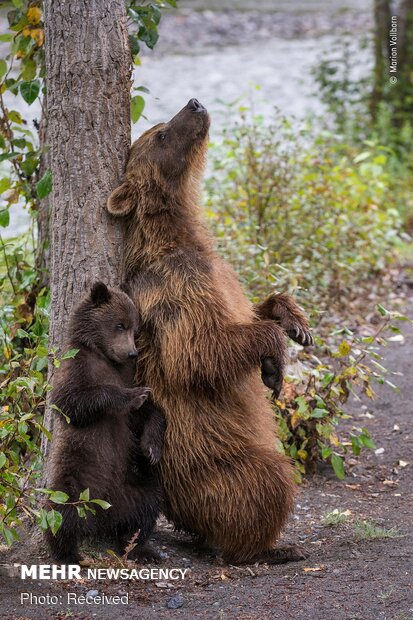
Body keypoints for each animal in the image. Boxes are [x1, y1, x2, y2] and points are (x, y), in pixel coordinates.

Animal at [45, 284, 165, 564]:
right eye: (119, 325)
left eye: (135, 328)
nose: (132, 352)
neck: (104, 357)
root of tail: (102, 512)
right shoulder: (75, 366)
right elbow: (72, 401)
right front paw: (132, 397)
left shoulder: (129, 373)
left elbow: (147, 412)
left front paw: (151, 447)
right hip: (76, 479)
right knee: (61, 511)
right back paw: (67, 553)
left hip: (131, 488)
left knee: (147, 506)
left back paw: (140, 548)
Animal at [106, 99, 312, 564]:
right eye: (161, 134)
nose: (194, 104)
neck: (179, 237)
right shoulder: (173, 291)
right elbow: (199, 352)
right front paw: (273, 363)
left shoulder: (220, 274)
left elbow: (252, 309)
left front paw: (295, 324)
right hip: (211, 461)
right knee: (269, 478)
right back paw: (268, 547)